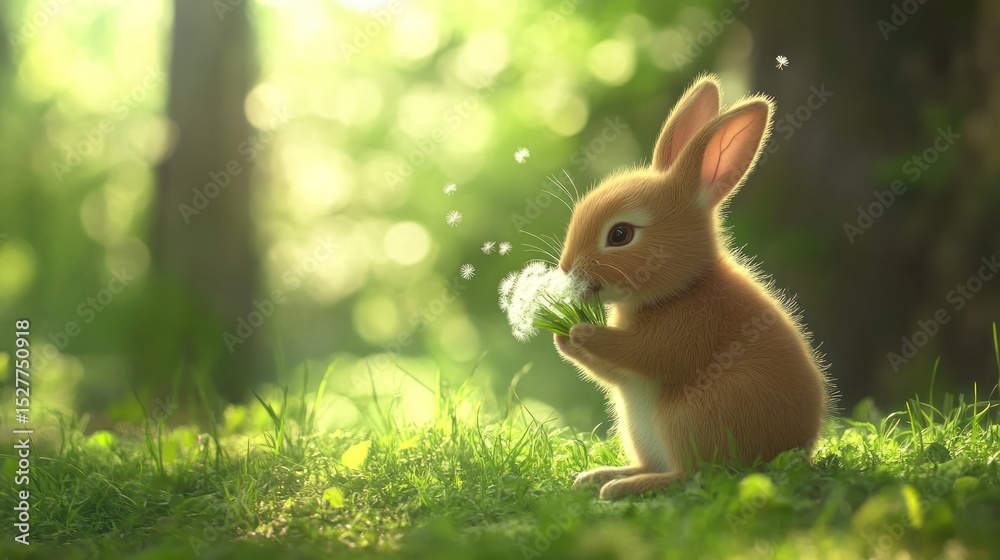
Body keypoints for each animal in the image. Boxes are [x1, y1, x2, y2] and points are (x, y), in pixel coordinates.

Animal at [553, 74, 832, 500]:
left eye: (620, 234)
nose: (567, 269)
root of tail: (794, 449)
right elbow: (612, 372)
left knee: (691, 475)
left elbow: (638, 352)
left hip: (689, 417)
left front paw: (581, 331)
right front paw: (562, 338)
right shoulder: (625, 376)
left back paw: (621, 487)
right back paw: (601, 476)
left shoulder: (681, 335)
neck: (683, 288)